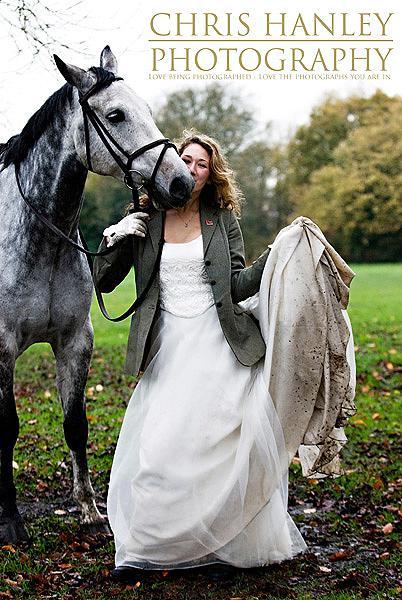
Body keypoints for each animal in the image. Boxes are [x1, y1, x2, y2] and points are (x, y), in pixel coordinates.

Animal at [0, 48, 193, 544]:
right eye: (115, 115)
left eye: (148, 109)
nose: (181, 182)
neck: (41, 237)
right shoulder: (2, 347)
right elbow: (8, 426)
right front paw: (11, 522)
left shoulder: (75, 342)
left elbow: (75, 425)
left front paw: (88, 509)